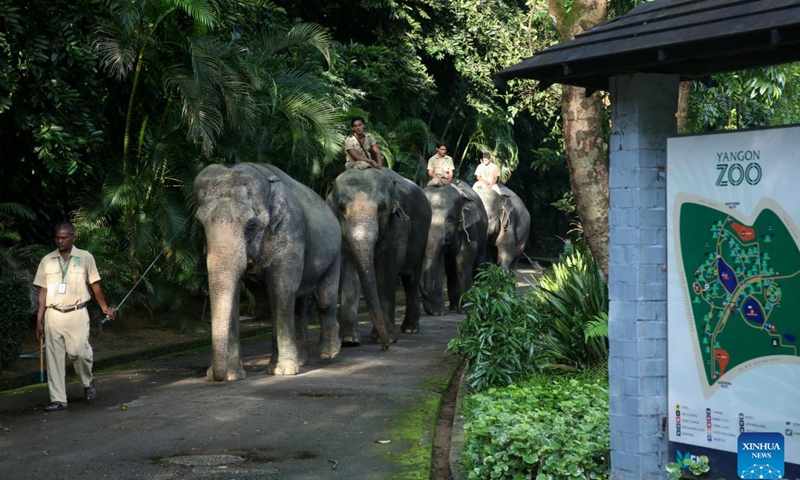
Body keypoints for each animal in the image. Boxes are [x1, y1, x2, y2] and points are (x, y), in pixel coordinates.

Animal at [197, 163, 344, 380]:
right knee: (298, 303)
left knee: (324, 300)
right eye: (199, 224)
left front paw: (284, 372)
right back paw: (303, 360)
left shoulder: (290, 237)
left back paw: (329, 353)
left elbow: (280, 290)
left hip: (334, 253)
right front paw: (233, 376)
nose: (214, 375)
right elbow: (235, 294)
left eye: (251, 225)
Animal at [326, 167, 432, 346]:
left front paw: (385, 338)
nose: (385, 347)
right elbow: (349, 267)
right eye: (341, 206)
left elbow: (386, 268)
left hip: (422, 234)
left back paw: (410, 329)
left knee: (411, 277)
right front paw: (349, 340)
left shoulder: (397, 225)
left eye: (382, 206)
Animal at [422, 181, 490, 316]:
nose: (429, 311)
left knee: (479, 262)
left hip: (483, 233)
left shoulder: (470, 228)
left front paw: (466, 309)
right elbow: (439, 262)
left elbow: (464, 260)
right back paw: (453, 306)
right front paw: (438, 312)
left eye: (449, 220)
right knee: (450, 268)